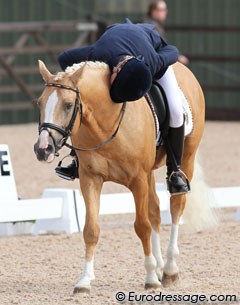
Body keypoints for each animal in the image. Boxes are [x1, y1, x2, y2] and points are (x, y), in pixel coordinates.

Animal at [34, 60, 206, 292]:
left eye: (69, 105)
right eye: (40, 103)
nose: (43, 149)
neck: (106, 124)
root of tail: (183, 68)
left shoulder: (138, 180)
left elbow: (142, 226)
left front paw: (150, 278)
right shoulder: (91, 179)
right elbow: (91, 229)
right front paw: (84, 281)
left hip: (185, 159)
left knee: (176, 206)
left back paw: (169, 270)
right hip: (150, 173)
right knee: (155, 210)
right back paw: (160, 267)